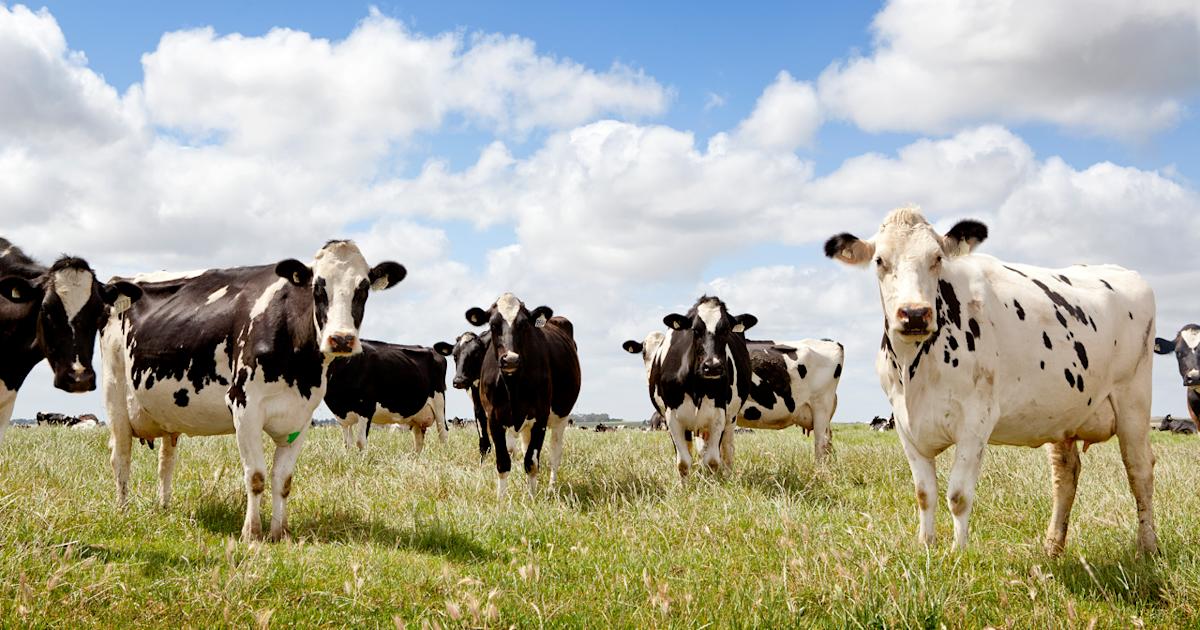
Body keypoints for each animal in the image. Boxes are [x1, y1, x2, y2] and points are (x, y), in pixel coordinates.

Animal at [101, 240, 405, 542]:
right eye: (318, 288)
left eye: (362, 289)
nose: (341, 339)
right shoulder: (244, 406)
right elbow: (256, 476)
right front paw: (251, 533)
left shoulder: (302, 416)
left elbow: (283, 480)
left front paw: (280, 532)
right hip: (114, 392)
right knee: (121, 457)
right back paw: (123, 510)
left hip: (166, 412)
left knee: (166, 460)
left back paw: (164, 507)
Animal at [463, 293, 580, 497]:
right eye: (493, 325)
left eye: (524, 324)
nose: (510, 359)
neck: (512, 385)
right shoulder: (493, 418)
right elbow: (503, 462)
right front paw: (501, 501)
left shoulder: (541, 417)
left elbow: (531, 462)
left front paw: (532, 498)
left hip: (561, 416)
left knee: (554, 453)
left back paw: (551, 487)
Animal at [621, 296, 756, 479]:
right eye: (695, 330)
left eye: (726, 330)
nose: (712, 366)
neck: (697, 387)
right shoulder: (672, 417)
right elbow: (684, 461)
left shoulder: (718, 415)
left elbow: (712, 460)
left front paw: (712, 482)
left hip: (730, 418)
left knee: (726, 450)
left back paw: (727, 475)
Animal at [825, 206, 1158, 555]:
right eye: (880, 260)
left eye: (937, 258)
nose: (914, 314)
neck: (914, 369)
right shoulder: (905, 424)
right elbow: (924, 493)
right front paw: (926, 546)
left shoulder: (977, 419)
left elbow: (958, 496)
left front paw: (958, 554)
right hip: (1064, 412)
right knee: (1066, 473)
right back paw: (1052, 547)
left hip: (1133, 402)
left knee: (1139, 469)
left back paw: (1147, 547)